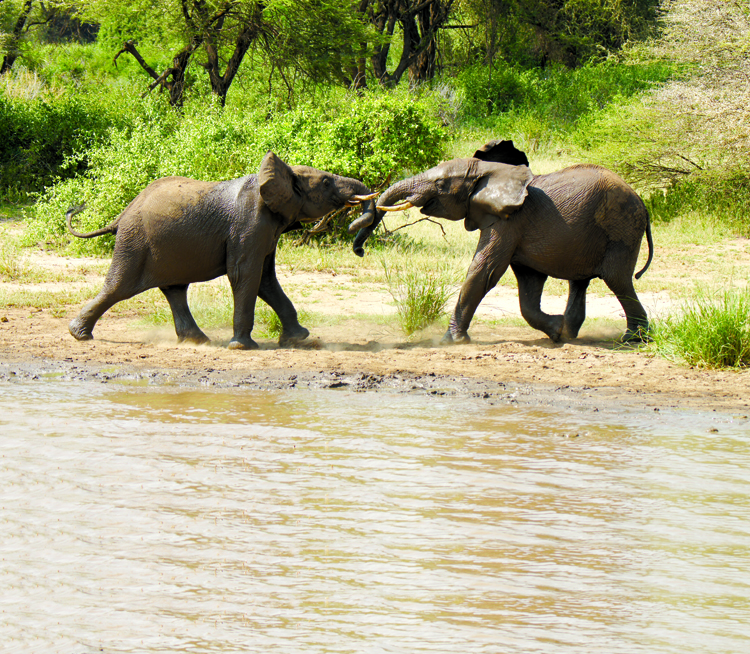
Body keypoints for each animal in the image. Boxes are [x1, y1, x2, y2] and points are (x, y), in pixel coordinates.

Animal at [67, 151, 378, 352]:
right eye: (325, 182)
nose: (359, 249)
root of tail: (121, 215)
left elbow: (265, 280)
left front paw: (298, 339)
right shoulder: (249, 225)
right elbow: (245, 275)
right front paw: (242, 347)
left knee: (174, 290)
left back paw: (197, 341)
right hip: (135, 241)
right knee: (119, 287)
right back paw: (79, 335)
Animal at [352, 138, 652, 344]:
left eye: (440, 184)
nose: (360, 251)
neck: (488, 171)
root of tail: (642, 202)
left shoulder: (509, 221)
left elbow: (485, 270)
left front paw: (451, 341)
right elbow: (528, 286)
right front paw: (556, 330)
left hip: (622, 228)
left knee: (618, 280)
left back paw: (633, 339)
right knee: (579, 282)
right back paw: (571, 332)